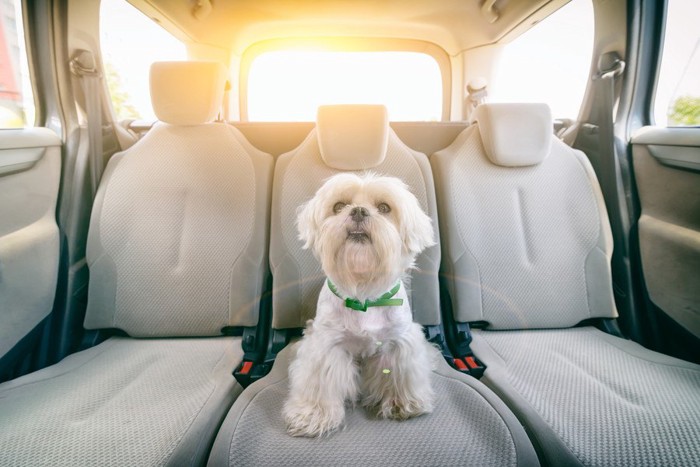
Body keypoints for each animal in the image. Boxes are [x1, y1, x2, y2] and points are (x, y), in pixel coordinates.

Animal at [280, 173, 438, 438]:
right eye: (338, 206)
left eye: (384, 208)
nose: (358, 211)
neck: (364, 294)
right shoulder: (326, 347)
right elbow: (320, 384)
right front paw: (313, 416)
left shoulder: (398, 342)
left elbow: (400, 375)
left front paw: (402, 403)